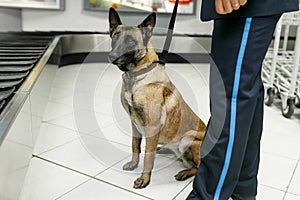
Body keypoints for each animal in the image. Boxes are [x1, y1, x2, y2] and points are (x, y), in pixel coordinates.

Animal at [108, 7, 206, 189]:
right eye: (115, 37)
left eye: (131, 42)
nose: (112, 56)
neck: (138, 73)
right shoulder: (134, 124)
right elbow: (135, 146)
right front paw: (133, 164)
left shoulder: (152, 127)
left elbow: (147, 157)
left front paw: (144, 179)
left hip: (187, 139)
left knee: (199, 166)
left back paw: (184, 172)